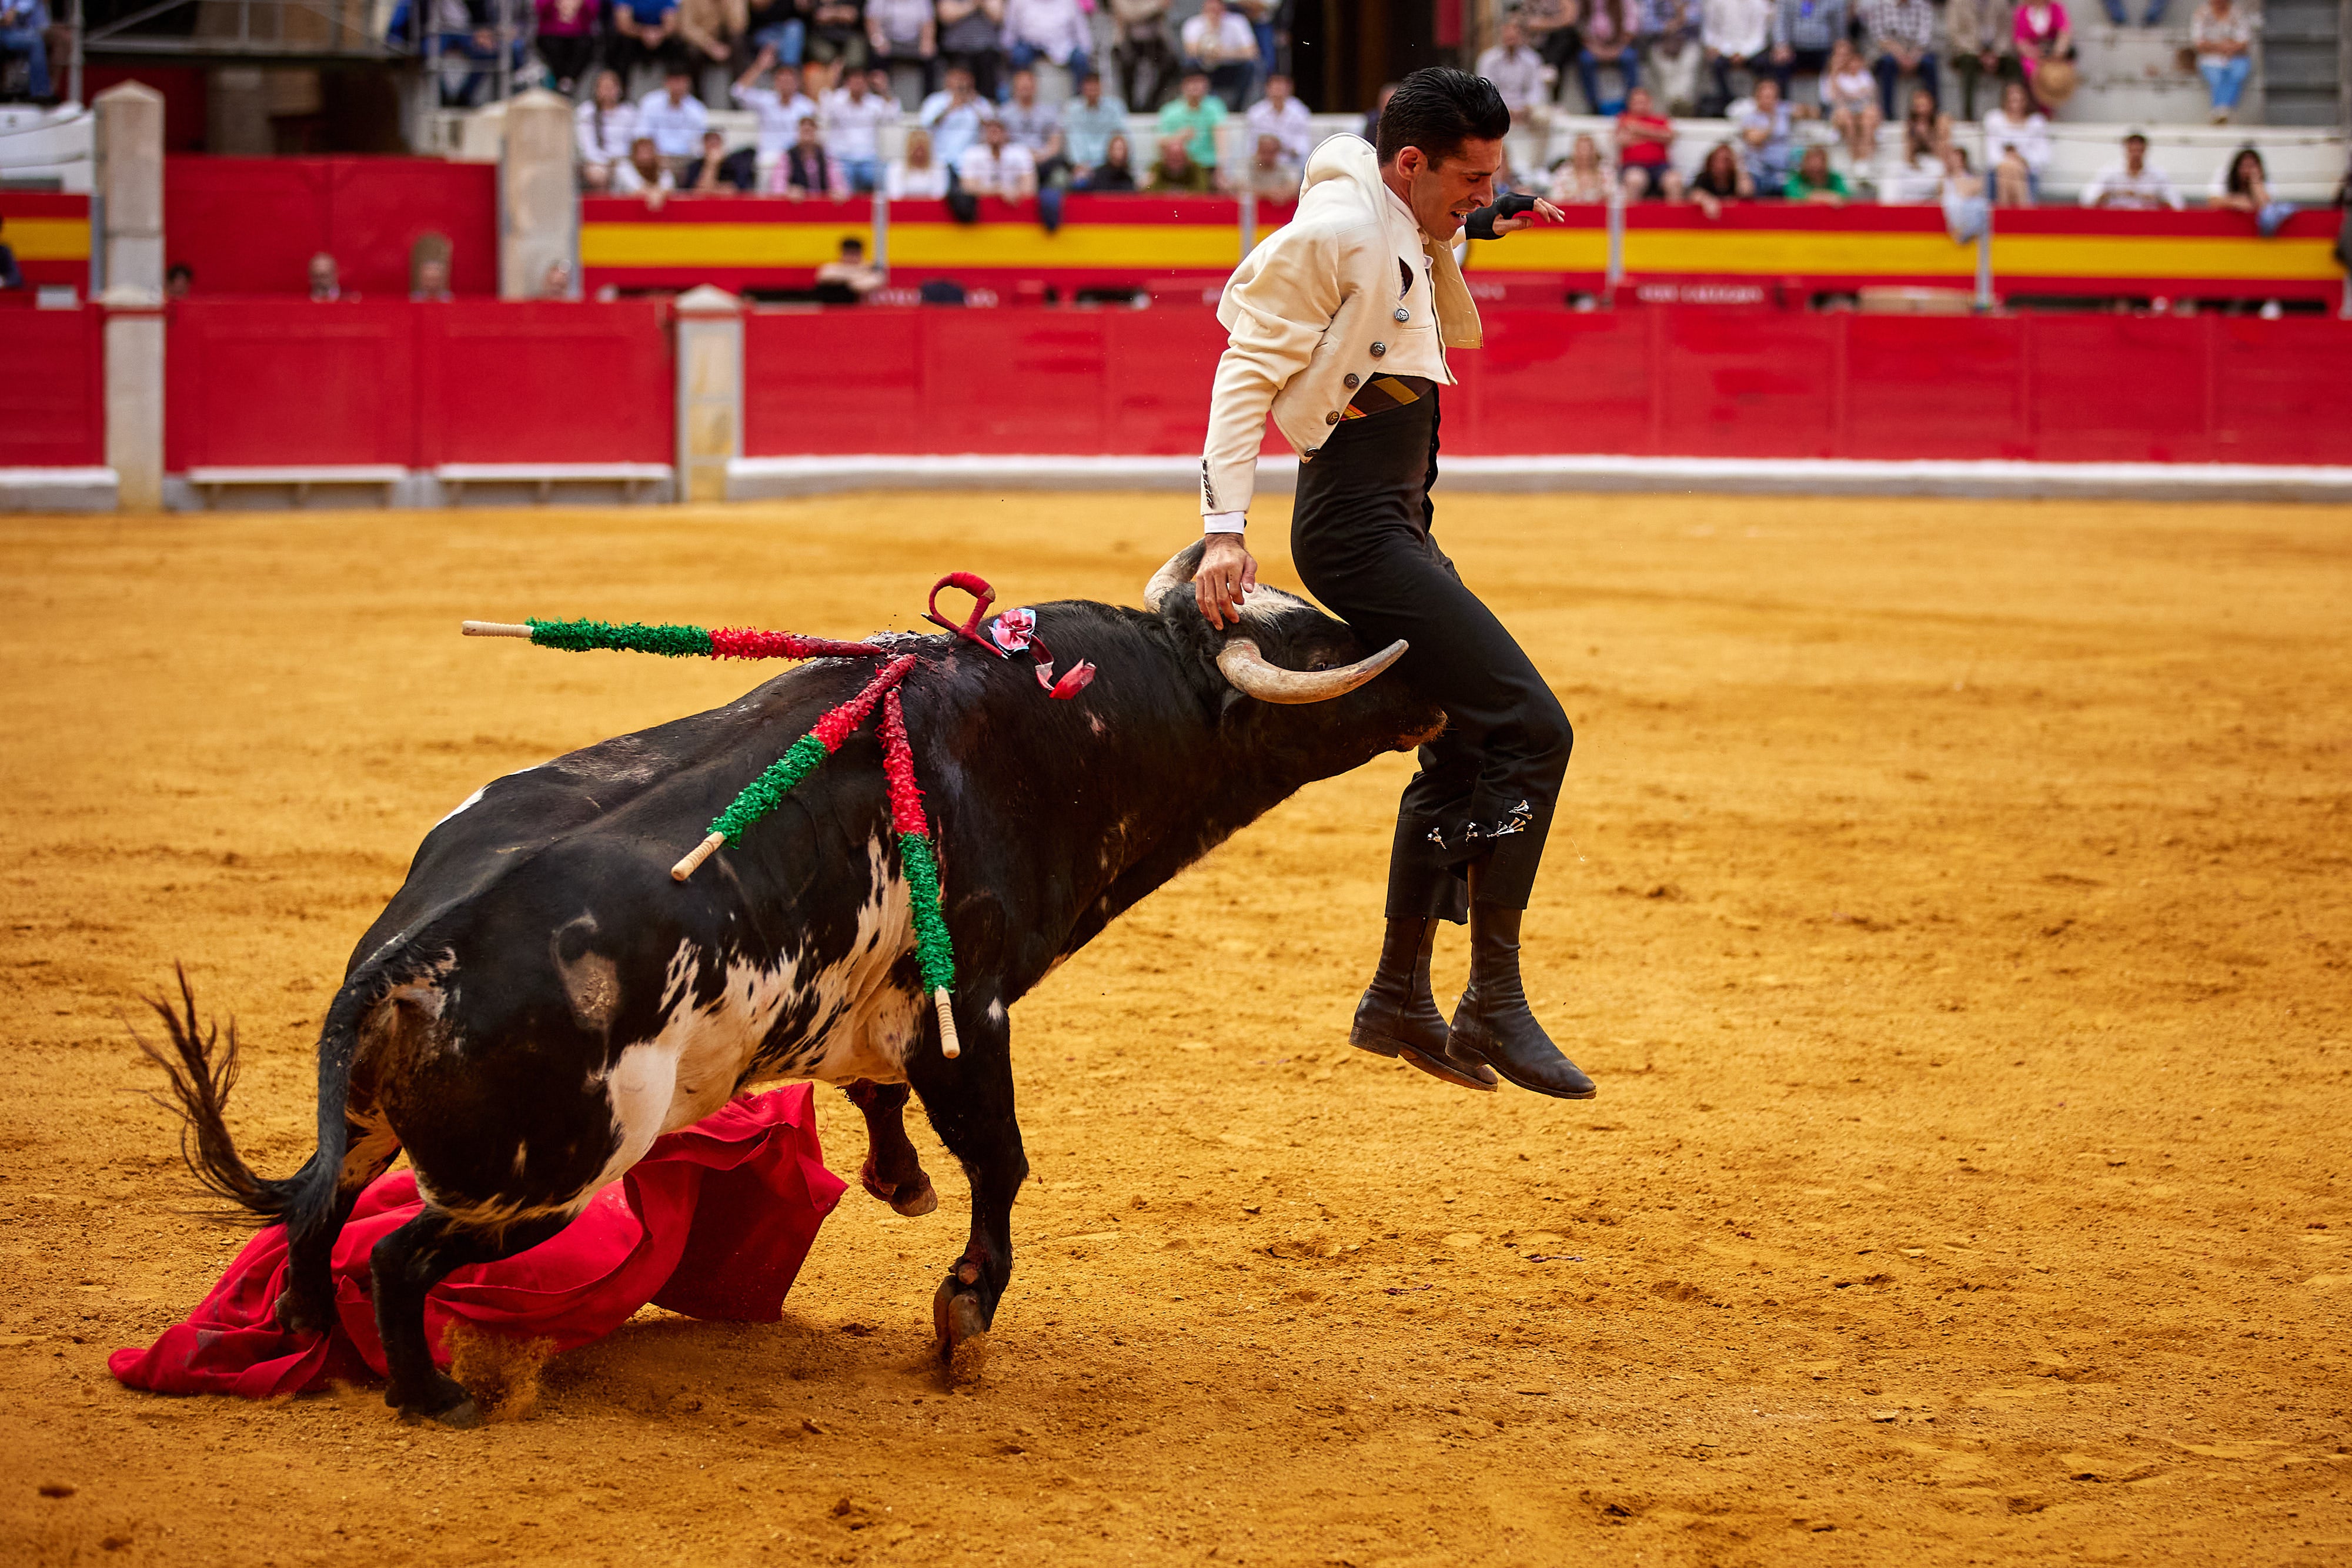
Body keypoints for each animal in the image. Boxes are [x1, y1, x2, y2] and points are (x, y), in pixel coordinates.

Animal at [147, 545, 1439, 1429]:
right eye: (1318, 649)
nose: (1438, 678)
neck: (1074, 720)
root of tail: (404, 966)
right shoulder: (972, 1006)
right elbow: (1004, 1162)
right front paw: (963, 1321)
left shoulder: (878, 1013)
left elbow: (884, 1099)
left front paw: (898, 1181)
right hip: (547, 1177)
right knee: (398, 1255)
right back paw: (437, 1395)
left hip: (384, 1128)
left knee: (321, 1213)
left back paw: (306, 1336)